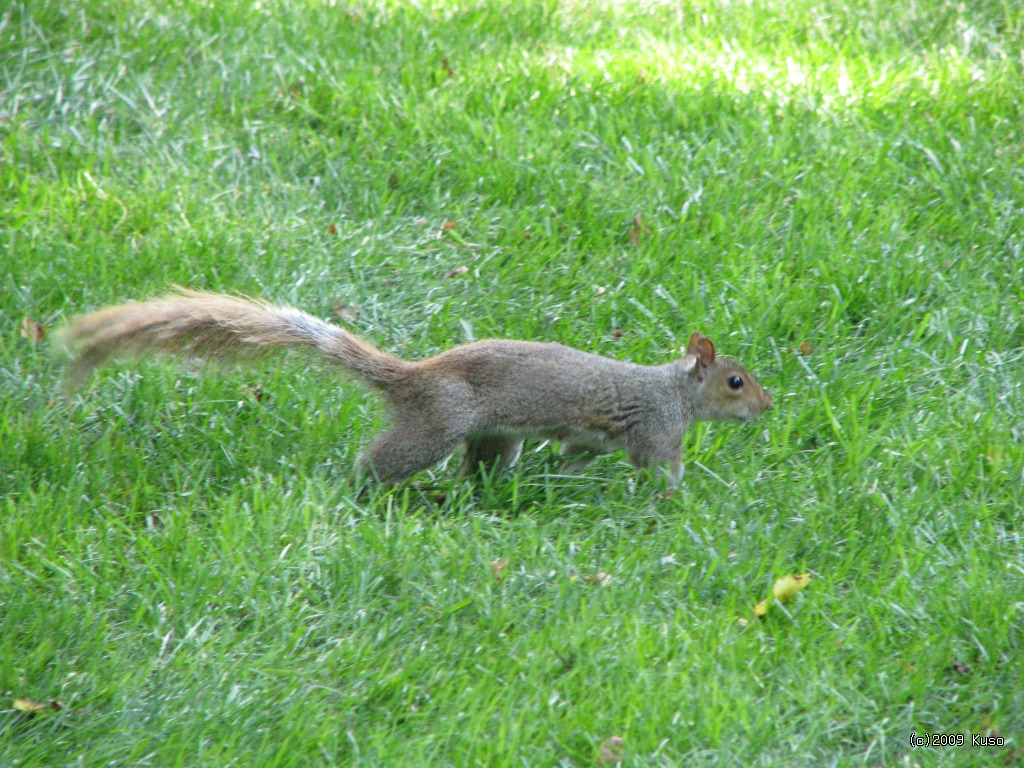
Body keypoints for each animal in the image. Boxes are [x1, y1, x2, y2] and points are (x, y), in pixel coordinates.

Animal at [58, 290, 770, 489]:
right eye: (735, 381)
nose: (768, 407)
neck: (674, 390)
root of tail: (412, 377)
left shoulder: (594, 439)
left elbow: (575, 457)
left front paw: (561, 486)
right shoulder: (657, 431)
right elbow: (662, 472)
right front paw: (681, 502)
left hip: (494, 438)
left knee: (483, 470)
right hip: (436, 428)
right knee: (380, 462)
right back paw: (358, 490)